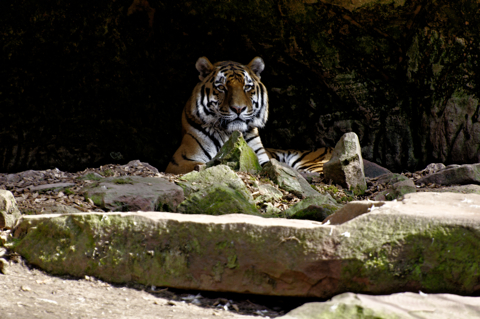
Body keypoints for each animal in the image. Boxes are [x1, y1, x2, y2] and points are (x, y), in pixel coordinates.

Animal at [165, 55, 334, 175]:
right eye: (222, 87)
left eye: (247, 87)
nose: (238, 109)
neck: (229, 134)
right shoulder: (181, 160)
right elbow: (201, 165)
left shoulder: (262, 158)